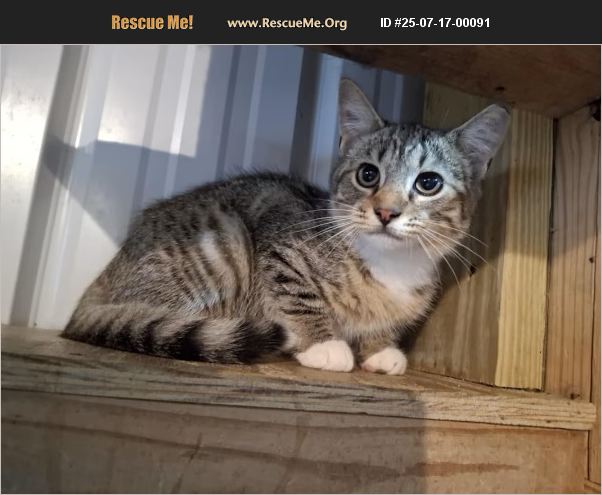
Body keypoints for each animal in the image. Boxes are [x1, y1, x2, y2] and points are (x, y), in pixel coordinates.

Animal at [62, 79, 509, 375]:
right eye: (368, 174)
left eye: (428, 183)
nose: (386, 212)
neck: (390, 265)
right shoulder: (281, 242)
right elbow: (297, 293)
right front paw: (324, 344)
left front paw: (381, 348)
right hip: (223, 242)